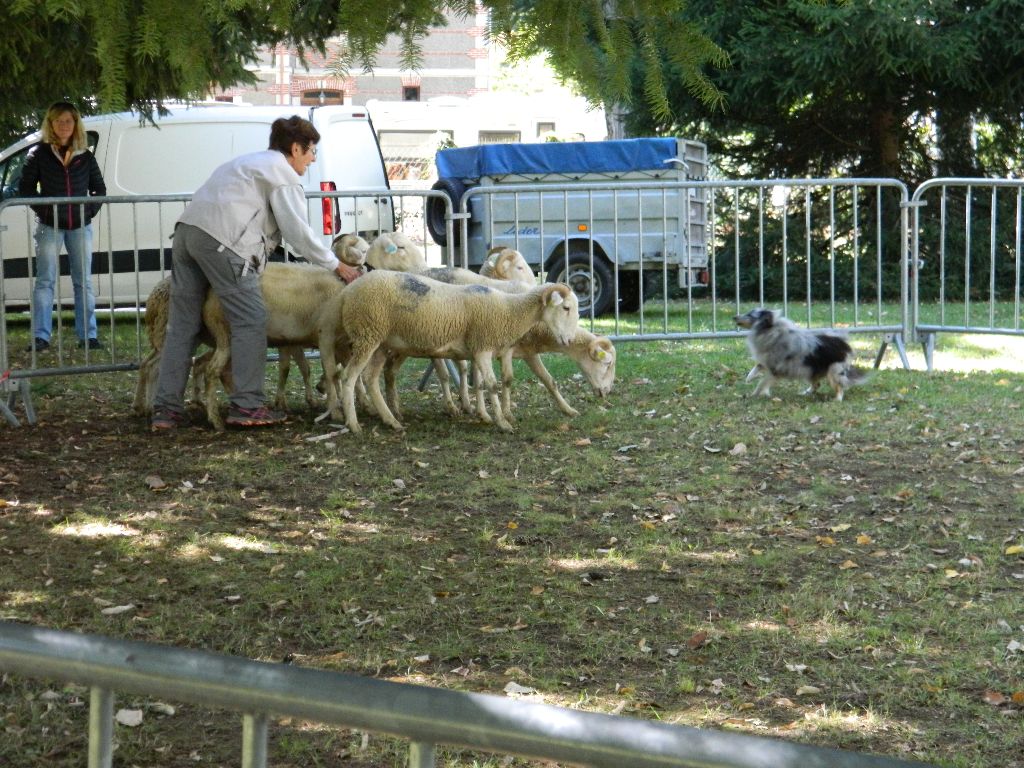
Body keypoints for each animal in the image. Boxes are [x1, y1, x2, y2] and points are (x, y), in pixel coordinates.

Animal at [319, 270, 577, 434]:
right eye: (565, 307)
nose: (570, 340)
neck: (510, 310)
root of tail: (346, 292)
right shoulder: (483, 346)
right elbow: (492, 385)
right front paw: (502, 423)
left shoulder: (479, 350)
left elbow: (482, 384)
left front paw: (485, 415)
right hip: (367, 334)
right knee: (349, 377)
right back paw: (354, 425)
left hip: (380, 341)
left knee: (370, 378)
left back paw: (391, 420)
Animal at [733, 309, 868, 403]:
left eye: (750, 315)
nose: (734, 317)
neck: (771, 331)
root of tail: (844, 344)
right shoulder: (767, 361)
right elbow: (757, 367)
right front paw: (749, 379)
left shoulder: (775, 370)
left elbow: (761, 383)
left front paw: (754, 395)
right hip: (811, 370)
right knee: (816, 385)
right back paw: (805, 393)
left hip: (833, 371)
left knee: (840, 386)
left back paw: (837, 399)